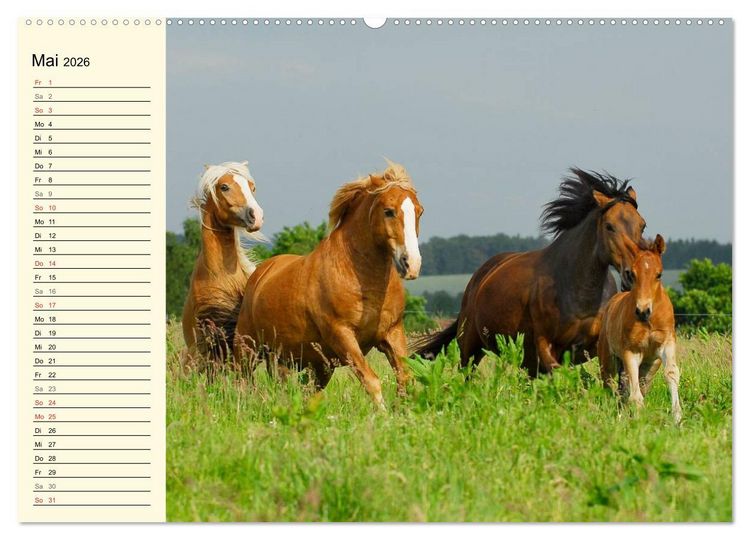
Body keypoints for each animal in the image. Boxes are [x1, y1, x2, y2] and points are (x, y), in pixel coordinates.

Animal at [233, 161, 423, 410]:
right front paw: (382, 415)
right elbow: (371, 380)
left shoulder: (393, 333)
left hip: (304, 362)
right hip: (247, 348)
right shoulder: (342, 335)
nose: (411, 264)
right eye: (389, 211)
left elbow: (405, 377)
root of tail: (259, 274)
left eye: (419, 211)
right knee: (242, 382)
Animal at [413, 168, 646, 376]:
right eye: (609, 226)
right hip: (470, 346)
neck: (577, 290)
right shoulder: (545, 343)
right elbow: (562, 373)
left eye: (642, 225)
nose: (632, 274)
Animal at [598, 234, 682, 423]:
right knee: (611, 385)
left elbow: (671, 373)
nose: (643, 311)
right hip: (608, 360)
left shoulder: (667, 343)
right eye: (632, 274)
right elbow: (635, 395)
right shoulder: (631, 351)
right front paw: (638, 420)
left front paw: (677, 418)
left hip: (650, 366)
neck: (649, 321)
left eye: (659, 274)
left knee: (634, 386)